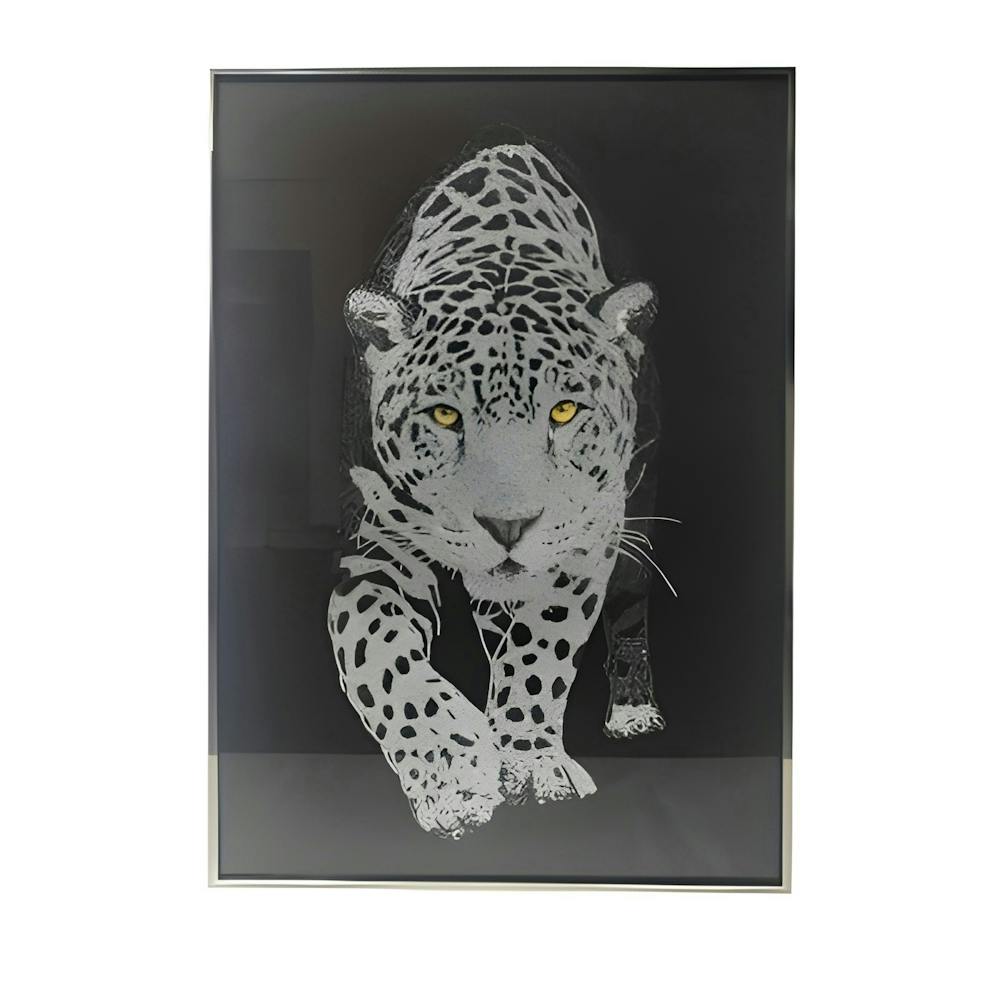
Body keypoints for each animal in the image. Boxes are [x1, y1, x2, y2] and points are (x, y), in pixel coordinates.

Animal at [328, 130, 671, 838]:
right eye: (444, 415)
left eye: (564, 412)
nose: (508, 527)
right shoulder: (377, 547)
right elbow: (378, 653)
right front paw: (451, 771)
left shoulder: (581, 536)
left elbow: (540, 651)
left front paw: (530, 762)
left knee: (628, 607)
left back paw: (632, 710)